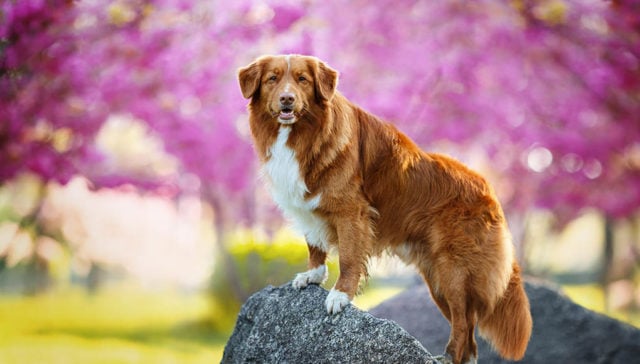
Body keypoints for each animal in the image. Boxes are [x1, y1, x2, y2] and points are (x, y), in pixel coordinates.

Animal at [238, 54, 532, 364]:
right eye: (272, 79)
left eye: (302, 80)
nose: (287, 99)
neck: (302, 134)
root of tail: (489, 190)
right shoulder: (307, 206)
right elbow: (314, 244)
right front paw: (313, 275)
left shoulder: (351, 211)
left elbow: (349, 258)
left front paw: (339, 295)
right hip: (437, 279)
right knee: (468, 326)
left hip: (453, 269)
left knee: (463, 322)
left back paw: (447, 356)